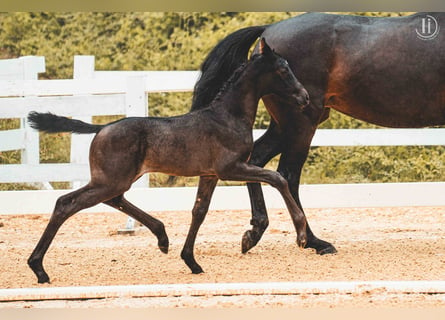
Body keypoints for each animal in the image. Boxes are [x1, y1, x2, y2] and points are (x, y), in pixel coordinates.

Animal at [25, 38, 308, 284]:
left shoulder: (210, 175)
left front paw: (191, 261)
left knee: (112, 200)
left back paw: (162, 237)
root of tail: (102, 127)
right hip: (111, 180)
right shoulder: (230, 169)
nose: (304, 97)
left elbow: (199, 211)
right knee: (67, 203)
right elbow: (277, 178)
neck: (228, 116)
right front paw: (302, 233)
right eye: (284, 70)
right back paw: (38, 268)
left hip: (116, 179)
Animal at [192, 12, 444, 256]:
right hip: (301, 124)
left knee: (257, 161)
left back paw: (255, 232)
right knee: (288, 175)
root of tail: (269, 29)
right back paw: (313, 241)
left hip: (285, 127)